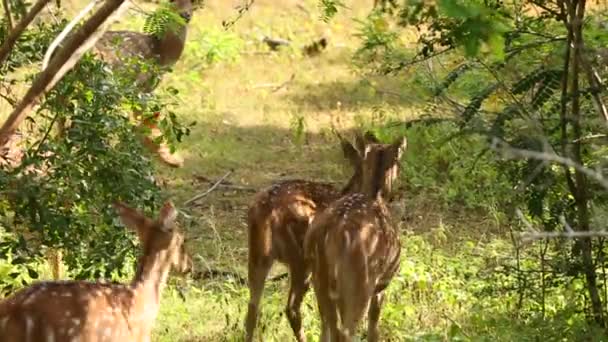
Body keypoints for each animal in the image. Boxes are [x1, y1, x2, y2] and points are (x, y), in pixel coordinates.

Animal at [302, 132, 406, 342]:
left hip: (320, 282)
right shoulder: (382, 284)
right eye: (398, 160)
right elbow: (374, 325)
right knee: (345, 332)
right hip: (359, 284)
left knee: (327, 325)